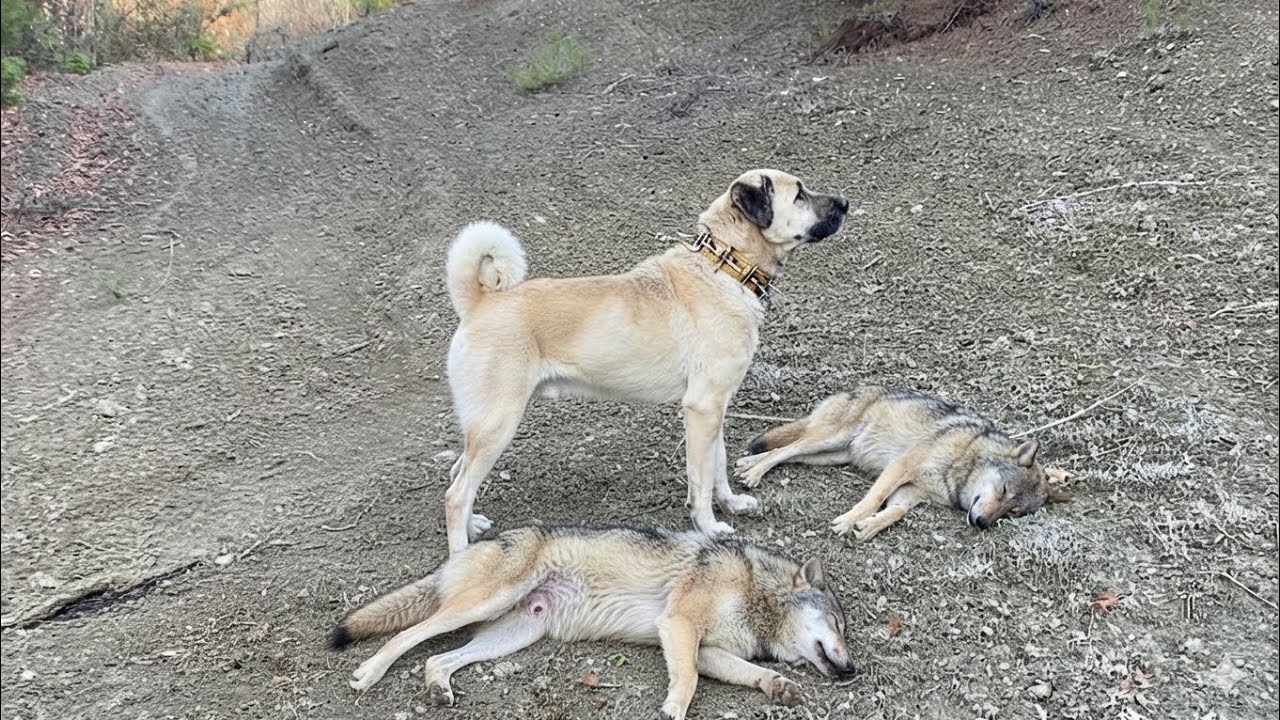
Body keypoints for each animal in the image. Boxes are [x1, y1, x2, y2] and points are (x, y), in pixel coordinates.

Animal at [331, 525, 857, 719]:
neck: (754, 590)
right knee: (409, 634)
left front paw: (777, 685)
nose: (852, 670)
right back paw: (368, 674)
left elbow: (749, 672)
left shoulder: (706, 649)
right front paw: (672, 711)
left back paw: (438, 690)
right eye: (838, 625)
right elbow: (686, 681)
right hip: (479, 606)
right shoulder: (679, 625)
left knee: (436, 660)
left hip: (514, 634)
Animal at [439, 169, 849, 553]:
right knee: (456, 494)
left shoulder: (716, 408)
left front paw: (731, 504)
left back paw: (474, 525)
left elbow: (717, 465)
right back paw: (461, 554)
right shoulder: (701, 408)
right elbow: (701, 479)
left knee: (459, 474)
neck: (725, 266)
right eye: (799, 194)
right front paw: (709, 526)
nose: (845, 203)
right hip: (498, 424)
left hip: (484, 426)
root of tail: (478, 302)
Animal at [734, 387, 1067, 541]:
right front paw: (848, 520)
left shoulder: (912, 492)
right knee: (785, 449)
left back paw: (747, 464)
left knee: (789, 452)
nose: (982, 523)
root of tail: (856, 389)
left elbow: (895, 512)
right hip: (828, 439)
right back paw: (753, 473)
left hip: (830, 455)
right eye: (1003, 490)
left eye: (1013, 512)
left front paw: (868, 527)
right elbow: (873, 500)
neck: (964, 459)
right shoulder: (900, 466)